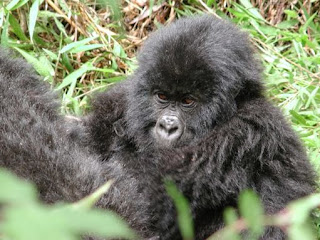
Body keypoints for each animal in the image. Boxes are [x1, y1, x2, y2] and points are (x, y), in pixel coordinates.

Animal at [0, 15, 316, 240]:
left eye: (188, 101)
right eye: (162, 97)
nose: (167, 126)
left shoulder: (245, 133)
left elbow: (142, 203)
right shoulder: (121, 102)